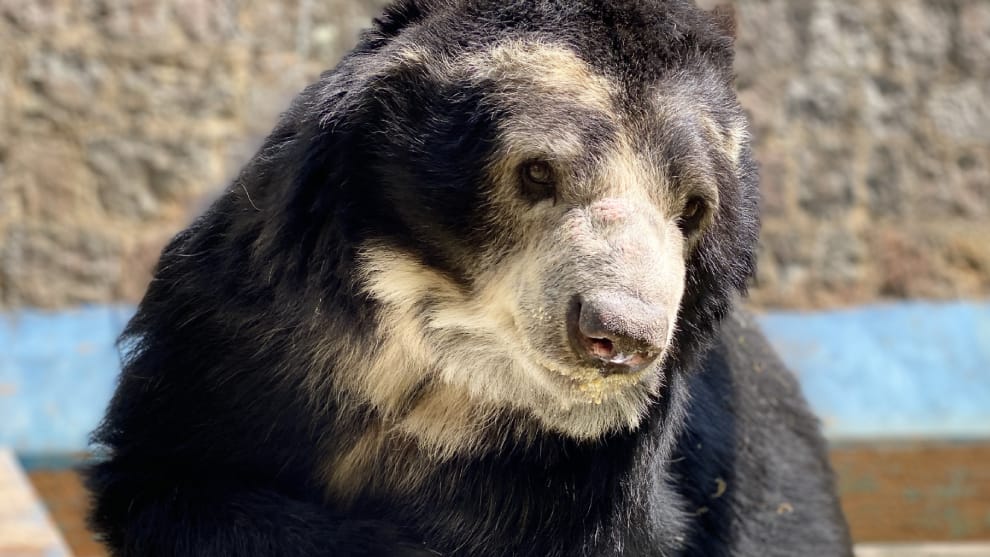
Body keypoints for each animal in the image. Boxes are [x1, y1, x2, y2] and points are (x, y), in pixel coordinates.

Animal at [85, 0, 853, 555]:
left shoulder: (598, 486)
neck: (451, 374)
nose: (618, 333)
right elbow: (175, 478)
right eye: (537, 172)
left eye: (693, 208)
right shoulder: (235, 347)